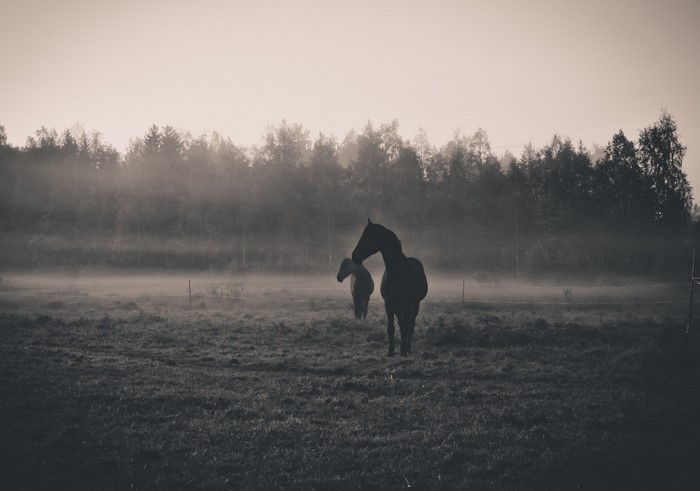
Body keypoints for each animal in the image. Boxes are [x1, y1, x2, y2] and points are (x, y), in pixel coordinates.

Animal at [351, 219, 428, 356]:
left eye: (368, 237)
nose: (354, 256)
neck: (398, 273)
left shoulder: (406, 305)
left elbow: (404, 327)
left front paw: (403, 351)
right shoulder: (389, 304)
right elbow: (391, 328)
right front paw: (391, 351)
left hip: (415, 305)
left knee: (410, 324)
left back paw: (408, 346)